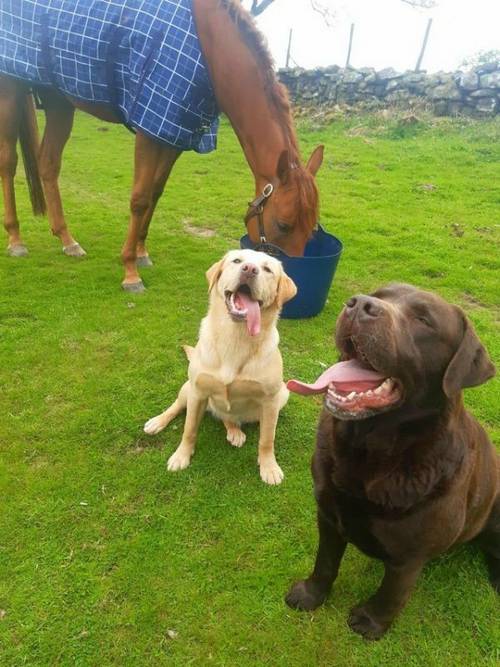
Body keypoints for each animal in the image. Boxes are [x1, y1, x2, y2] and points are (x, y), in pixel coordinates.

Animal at [0, 0, 324, 292]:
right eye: (283, 225)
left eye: (311, 229)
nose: (288, 281)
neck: (208, 46)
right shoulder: (150, 128)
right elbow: (140, 198)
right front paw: (130, 272)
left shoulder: (174, 134)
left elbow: (155, 193)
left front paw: (141, 252)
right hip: (11, 90)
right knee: (9, 162)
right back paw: (16, 240)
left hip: (59, 101)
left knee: (48, 164)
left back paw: (67, 240)